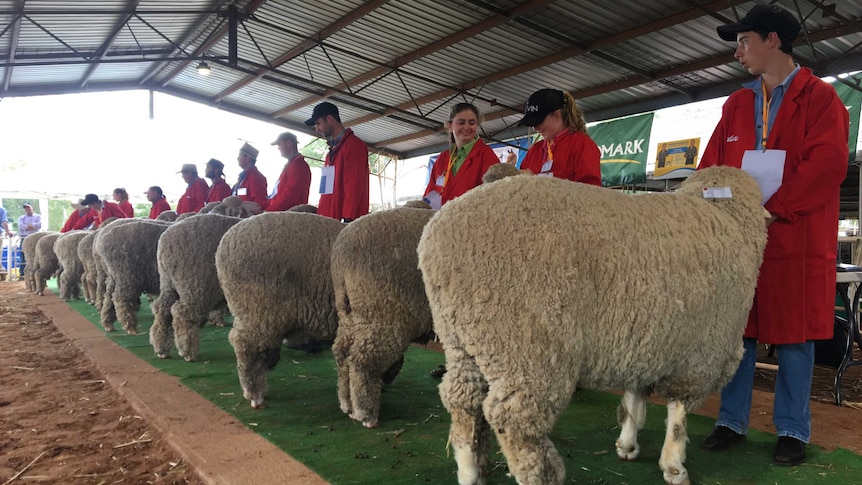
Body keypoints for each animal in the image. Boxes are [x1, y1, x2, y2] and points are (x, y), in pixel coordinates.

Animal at [150, 214, 245, 362]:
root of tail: (165, 242)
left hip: (168, 284)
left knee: (162, 309)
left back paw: (161, 348)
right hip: (195, 286)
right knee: (182, 313)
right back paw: (187, 352)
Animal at [332, 206, 438, 426]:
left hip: (352, 316)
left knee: (342, 352)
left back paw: (346, 403)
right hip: (384, 315)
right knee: (362, 361)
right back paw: (365, 414)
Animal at [418, 166, 768, 484]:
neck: (729, 218)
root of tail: (437, 237)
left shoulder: (646, 338)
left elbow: (634, 397)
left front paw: (627, 443)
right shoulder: (701, 352)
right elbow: (678, 415)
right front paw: (673, 465)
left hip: (463, 339)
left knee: (463, 403)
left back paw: (470, 473)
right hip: (527, 347)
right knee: (515, 424)